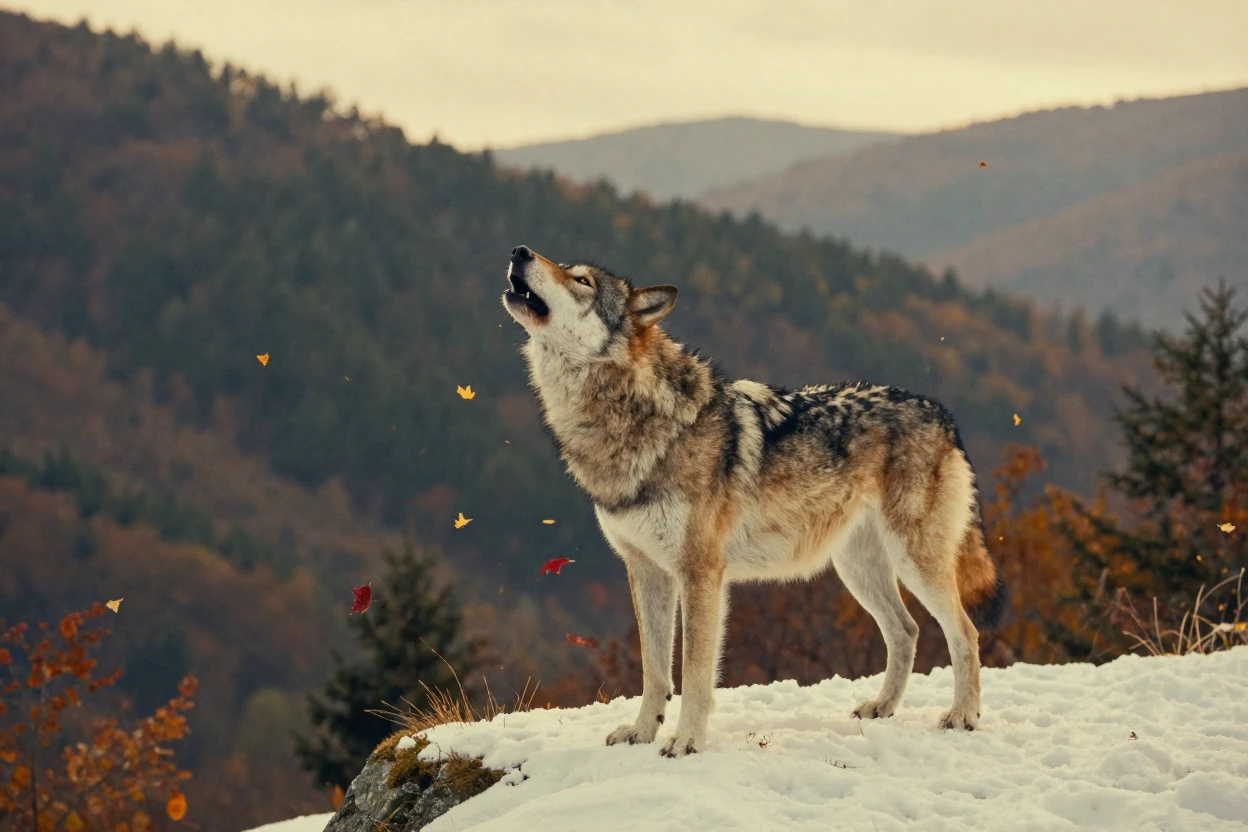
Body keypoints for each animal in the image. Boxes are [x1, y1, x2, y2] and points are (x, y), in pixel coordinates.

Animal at [502, 245, 1006, 758]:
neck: (634, 417)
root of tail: (942, 414)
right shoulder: (646, 571)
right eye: (565, 267)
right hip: (856, 569)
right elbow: (654, 671)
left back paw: (963, 715)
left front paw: (686, 740)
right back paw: (881, 708)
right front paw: (642, 732)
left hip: (913, 561)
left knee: (964, 631)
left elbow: (694, 672)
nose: (519, 251)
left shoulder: (700, 573)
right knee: (907, 631)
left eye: (581, 281)